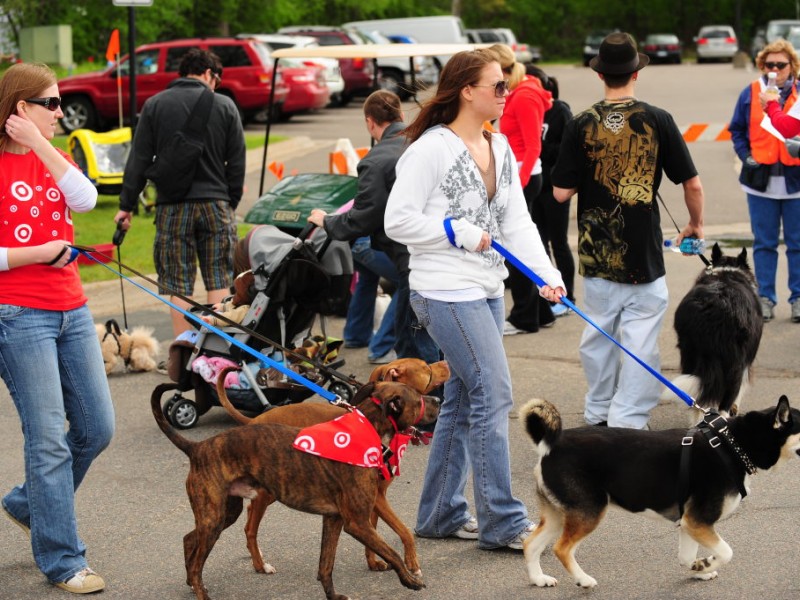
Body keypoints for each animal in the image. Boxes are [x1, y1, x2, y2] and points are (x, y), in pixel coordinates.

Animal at [150, 382, 438, 596]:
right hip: (214, 518)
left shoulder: (334, 520)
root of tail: (198, 447)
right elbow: (394, 552)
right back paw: (201, 589)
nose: (437, 399)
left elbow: (325, 566)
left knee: (190, 540)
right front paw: (411, 579)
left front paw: (333, 595)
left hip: (223, 514)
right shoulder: (357, 523)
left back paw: (192, 583)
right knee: (198, 561)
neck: (366, 429)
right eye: (419, 398)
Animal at [520, 396, 800, 588]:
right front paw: (707, 563)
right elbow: (726, 552)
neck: (733, 443)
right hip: (588, 511)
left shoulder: (689, 523)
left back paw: (538, 579)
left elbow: (686, 557)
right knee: (562, 549)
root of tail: (550, 447)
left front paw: (699, 567)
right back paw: (583, 579)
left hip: (559, 514)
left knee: (530, 544)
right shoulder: (699, 521)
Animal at [664, 243, 764, 418]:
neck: (728, 271)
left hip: (689, 353)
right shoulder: (747, 358)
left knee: (697, 399)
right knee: (726, 399)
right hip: (735, 362)